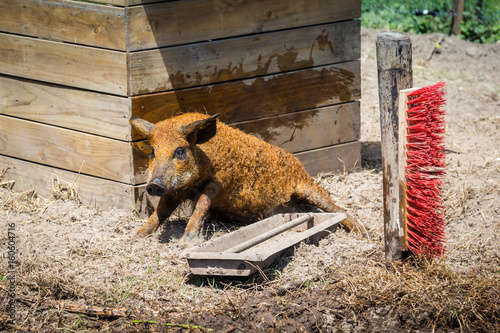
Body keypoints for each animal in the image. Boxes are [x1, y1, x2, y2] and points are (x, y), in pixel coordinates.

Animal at [131, 113, 366, 240]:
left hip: (307, 187)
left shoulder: (220, 182)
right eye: (152, 152)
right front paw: (138, 235)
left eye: (180, 151)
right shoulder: (175, 191)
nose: (154, 185)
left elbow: (202, 203)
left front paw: (187, 240)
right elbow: (160, 212)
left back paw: (363, 233)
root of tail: (298, 164)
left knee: (337, 208)